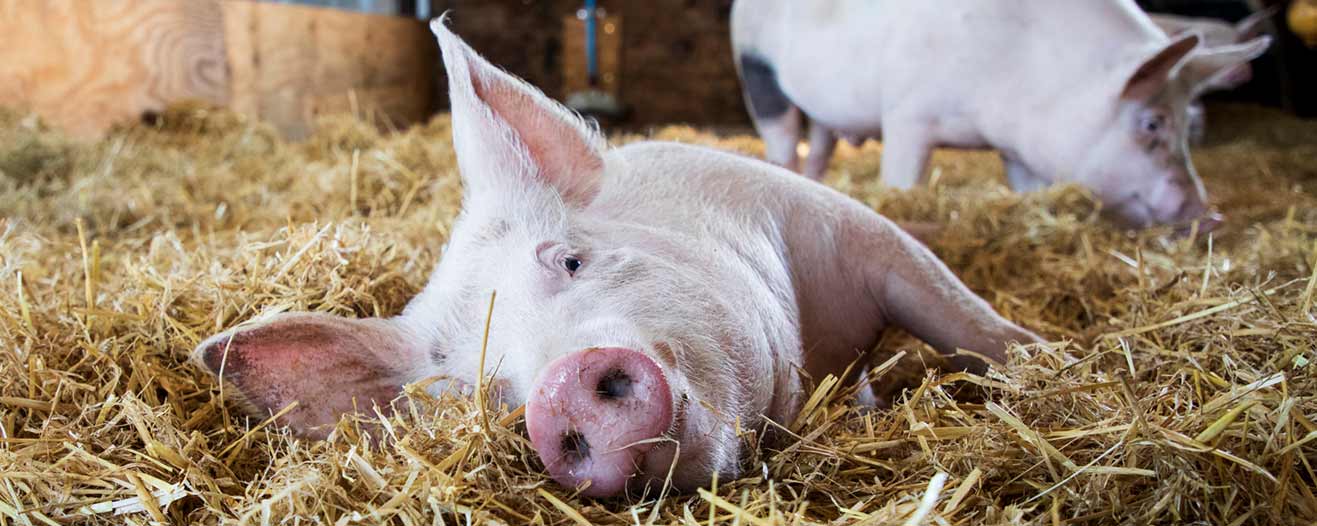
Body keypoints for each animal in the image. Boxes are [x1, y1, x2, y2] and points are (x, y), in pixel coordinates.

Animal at [191, 20, 1040, 498]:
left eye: (569, 261)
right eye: (482, 391)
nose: (559, 392)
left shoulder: (841, 226)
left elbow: (959, 317)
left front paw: (1043, 361)